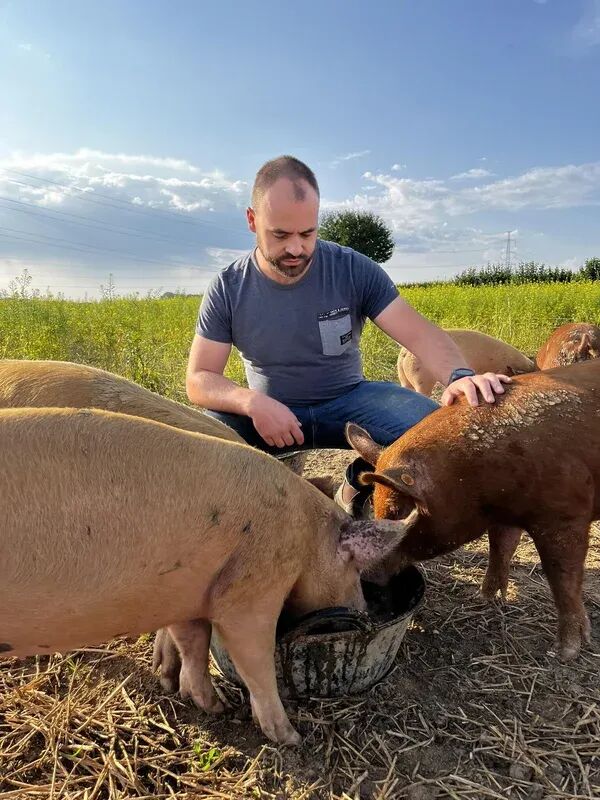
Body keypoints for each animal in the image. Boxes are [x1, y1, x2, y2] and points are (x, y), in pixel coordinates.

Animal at [0, 407, 409, 745]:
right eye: (355, 569)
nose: (364, 609)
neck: (308, 535)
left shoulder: (184, 593)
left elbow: (193, 645)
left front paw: (210, 705)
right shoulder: (253, 587)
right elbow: (255, 661)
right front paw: (290, 738)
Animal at [346, 359, 600, 661]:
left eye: (397, 511)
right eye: (375, 506)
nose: (364, 576)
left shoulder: (565, 515)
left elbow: (562, 578)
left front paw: (564, 652)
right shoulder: (504, 515)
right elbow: (500, 548)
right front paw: (485, 598)